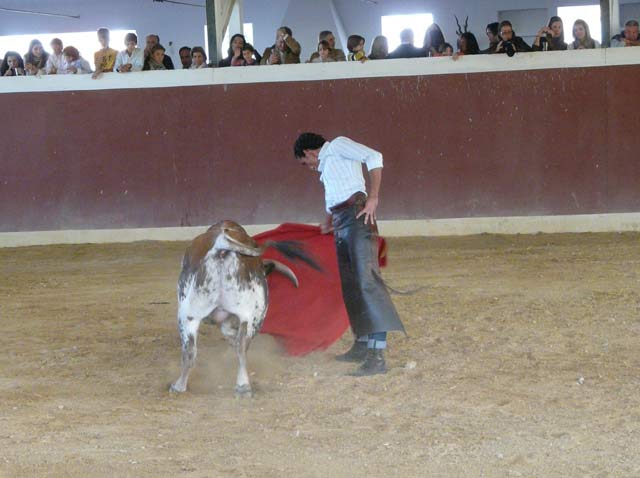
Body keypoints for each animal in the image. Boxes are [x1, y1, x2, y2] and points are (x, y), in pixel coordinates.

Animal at [170, 220, 320, 396]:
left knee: (190, 351)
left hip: (188, 315)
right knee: (241, 347)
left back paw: (179, 386)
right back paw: (243, 385)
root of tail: (221, 244)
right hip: (253, 314)